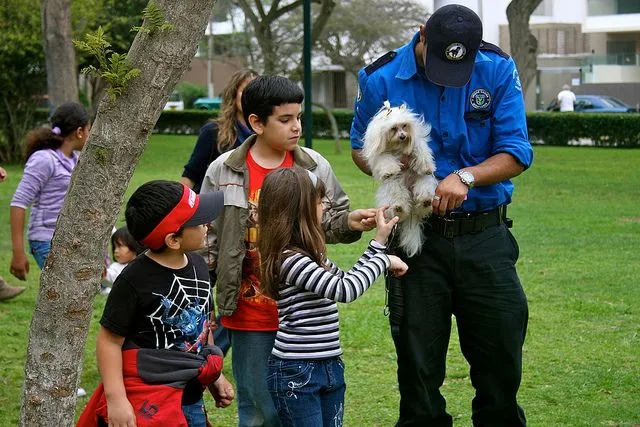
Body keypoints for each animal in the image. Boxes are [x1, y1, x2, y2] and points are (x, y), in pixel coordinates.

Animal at [362, 102, 438, 258]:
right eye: (393, 128)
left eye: (404, 126)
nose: (403, 136)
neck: (398, 147)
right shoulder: (382, 155)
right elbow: (386, 160)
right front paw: (390, 170)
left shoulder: (417, 144)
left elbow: (420, 150)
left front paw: (426, 166)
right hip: (394, 186)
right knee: (399, 201)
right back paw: (399, 208)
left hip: (424, 182)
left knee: (423, 194)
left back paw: (426, 201)